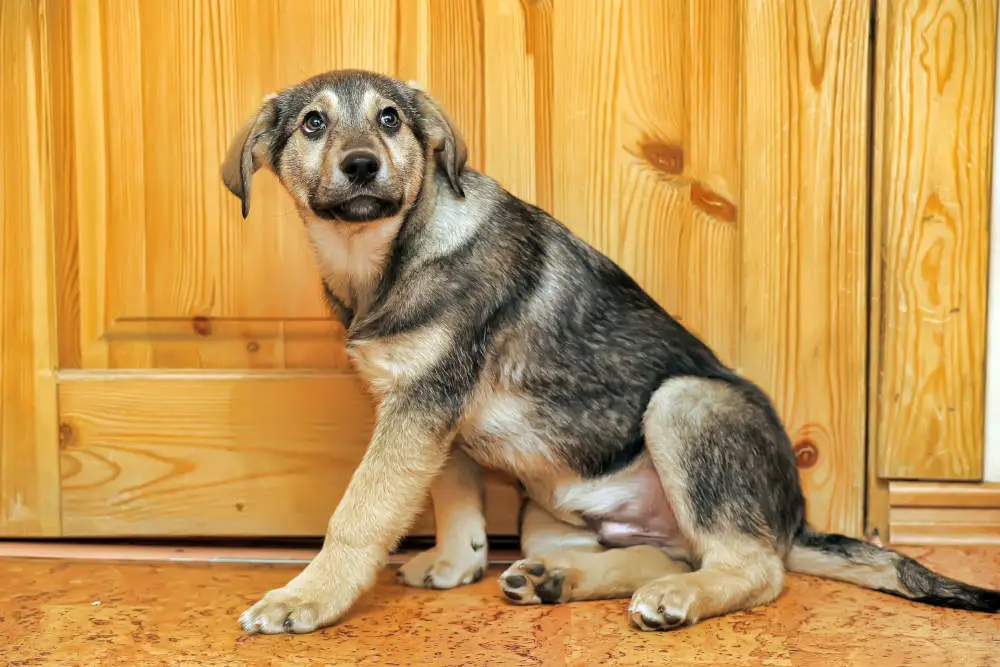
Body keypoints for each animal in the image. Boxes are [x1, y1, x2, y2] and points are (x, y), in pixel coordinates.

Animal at [221, 69, 1000, 636]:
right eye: (314, 122)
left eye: (389, 119)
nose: (361, 167)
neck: (384, 255)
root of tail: (792, 517)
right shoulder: (428, 409)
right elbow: (453, 493)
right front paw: (454, 562)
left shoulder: (423, 403)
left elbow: (360, 511)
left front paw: (308, 596)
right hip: (550, 515)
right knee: (658, 549)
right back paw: (559, 580)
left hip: (684, 403)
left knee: (756, 568)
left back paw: (678, 596)